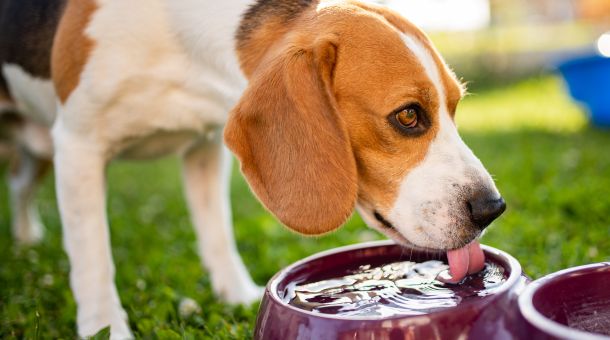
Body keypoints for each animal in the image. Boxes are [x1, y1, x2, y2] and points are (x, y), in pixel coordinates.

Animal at [0, 0, 504, 338]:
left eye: (455, 107)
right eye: (408, 115)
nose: (491, 208)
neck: (179, 43)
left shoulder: (205, 146)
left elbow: (217, 232)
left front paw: (236, 295)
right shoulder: (79, 144)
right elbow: (92, 256)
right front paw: (104, 325)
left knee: (20, 186)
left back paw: (26, 238)